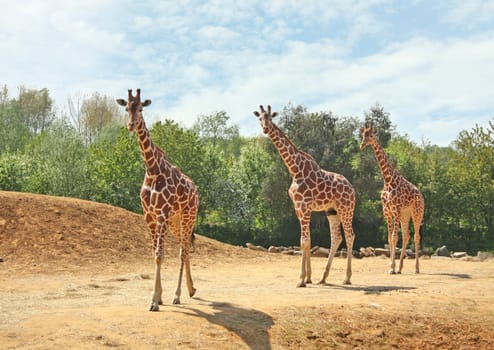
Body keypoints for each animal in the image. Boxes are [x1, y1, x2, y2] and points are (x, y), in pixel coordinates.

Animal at [116, 89, 199, 310]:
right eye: (126, 108)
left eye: (141, 108)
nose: (130, 125)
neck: (152, 170)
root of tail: (196, 189)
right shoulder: (150, 216)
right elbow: (155, 254)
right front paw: (159, 297)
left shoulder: (161, 215)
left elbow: (159, 256)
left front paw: (154, 300)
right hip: (175, 220)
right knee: (184, 248)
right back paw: (191, 290)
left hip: (188, 216)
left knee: (183, 250)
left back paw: (178, 295)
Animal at [255, 104, 356, 288]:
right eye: (260, 118)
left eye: (270, 118)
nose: (265, 129)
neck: (295, 169)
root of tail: (352, 188)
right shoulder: (299, 208)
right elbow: (305, 241)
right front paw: (308, 277)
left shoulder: (304, 206)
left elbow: (305, 240)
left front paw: (301, 279)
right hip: (332, 210)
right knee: (336, 237)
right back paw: (323, 277)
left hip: (346, 208)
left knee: (350, 236)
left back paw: (347, 278)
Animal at [358, 122, 424, 274]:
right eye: (363, 134)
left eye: (371, 135)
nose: (362, 145)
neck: (388, 180)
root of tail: (421, 195)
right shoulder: (387, 211)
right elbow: (389, 238)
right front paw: (392, 266)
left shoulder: (396, 209)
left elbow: (394, 237)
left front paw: (392, 268)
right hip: (405, 215)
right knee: (407, 235)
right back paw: (400, 268)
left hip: (417, 212)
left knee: (416, 236)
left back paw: (417, 268)